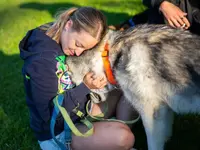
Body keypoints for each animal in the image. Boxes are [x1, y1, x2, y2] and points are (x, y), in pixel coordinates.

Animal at [66, 24, 200, 149]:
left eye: (71, 79)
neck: (113, 54)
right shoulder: (164, 109)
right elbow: (166, 133)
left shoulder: (150, 114)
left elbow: (153, 144)